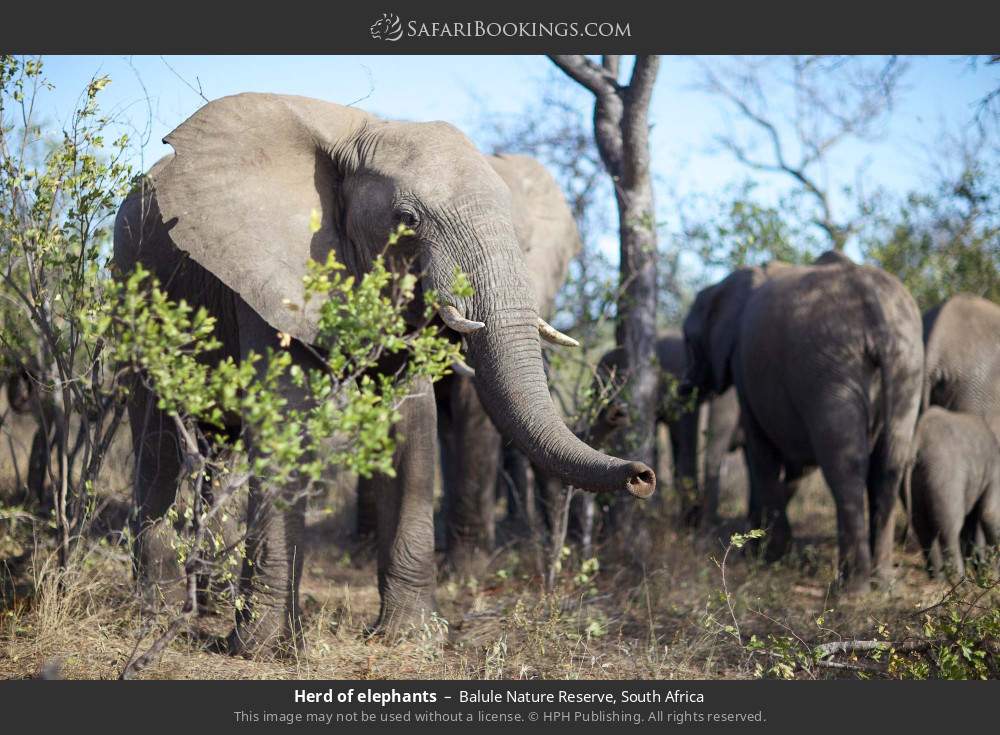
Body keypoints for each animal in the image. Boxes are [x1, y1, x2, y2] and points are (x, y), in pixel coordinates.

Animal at [113, 93, 655, 653]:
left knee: (218, 447)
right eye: (407, 219)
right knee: (157, 439)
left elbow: (409, 421)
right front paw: (265, 648)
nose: (642, 477)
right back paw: (156, 613)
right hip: (134, 290)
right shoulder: (265, 268)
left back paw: (209, 602)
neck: (359, 137)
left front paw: (411, 639)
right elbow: (286, 413)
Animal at [682, 250, 923, 590]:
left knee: (844, 466)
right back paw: (883, 581)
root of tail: (875, 310)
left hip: (828, 368)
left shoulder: (745, 366)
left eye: (688, 340)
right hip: (906, 363)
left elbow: (760, 453)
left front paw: (768, 557)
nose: (683, 386)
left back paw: (853, 587)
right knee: (888, 464)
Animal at [905, 406, 1000, 579]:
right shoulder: (995, 467)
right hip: (945, 475)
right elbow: (990, 514)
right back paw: (959, 580)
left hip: (913, 478)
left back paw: (937, 579)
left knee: (921, 526)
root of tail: (919, 442)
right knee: (949, 529)